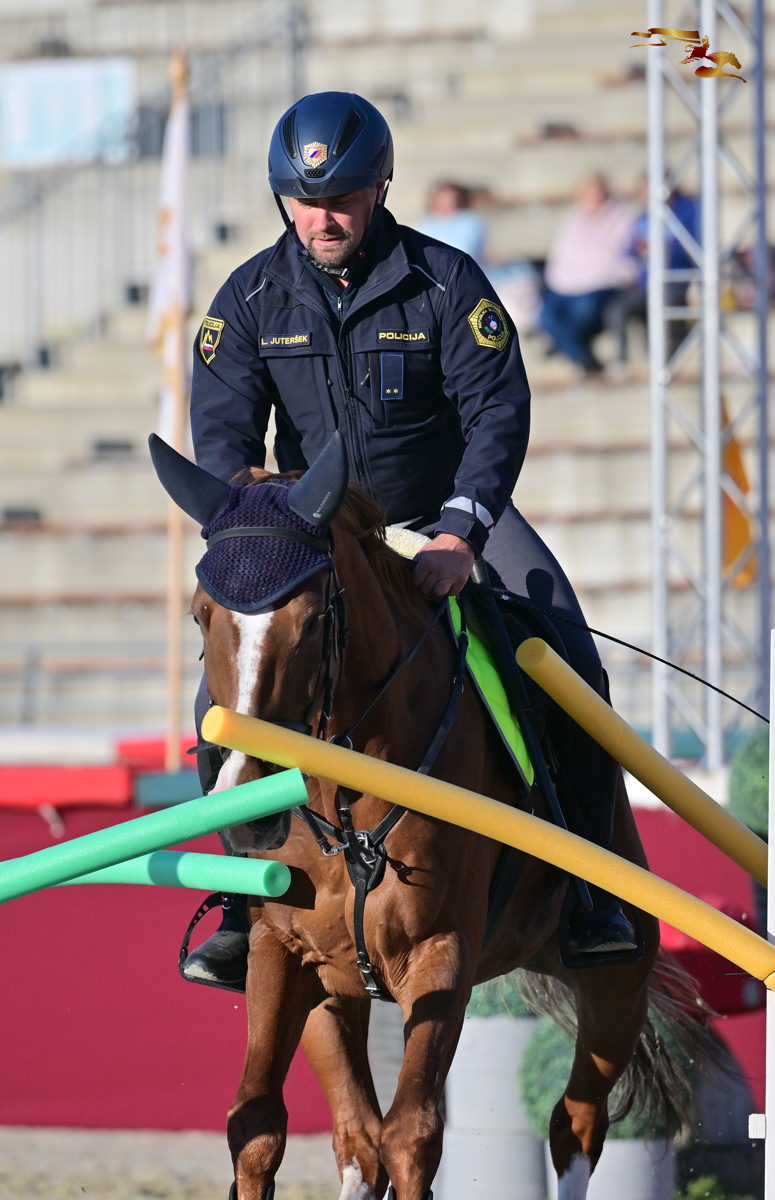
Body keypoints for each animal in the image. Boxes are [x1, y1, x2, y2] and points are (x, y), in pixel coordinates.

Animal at [150, 432, 706, 1200]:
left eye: (315, 619)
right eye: (202, 615)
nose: (251, 806)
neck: (346, 798)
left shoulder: (439, 952)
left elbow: (411, 1134)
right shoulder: (284, 952)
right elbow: (256, 1126)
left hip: (614, 983)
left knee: (576, 1123)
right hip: (338, 991)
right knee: (357, 1135)